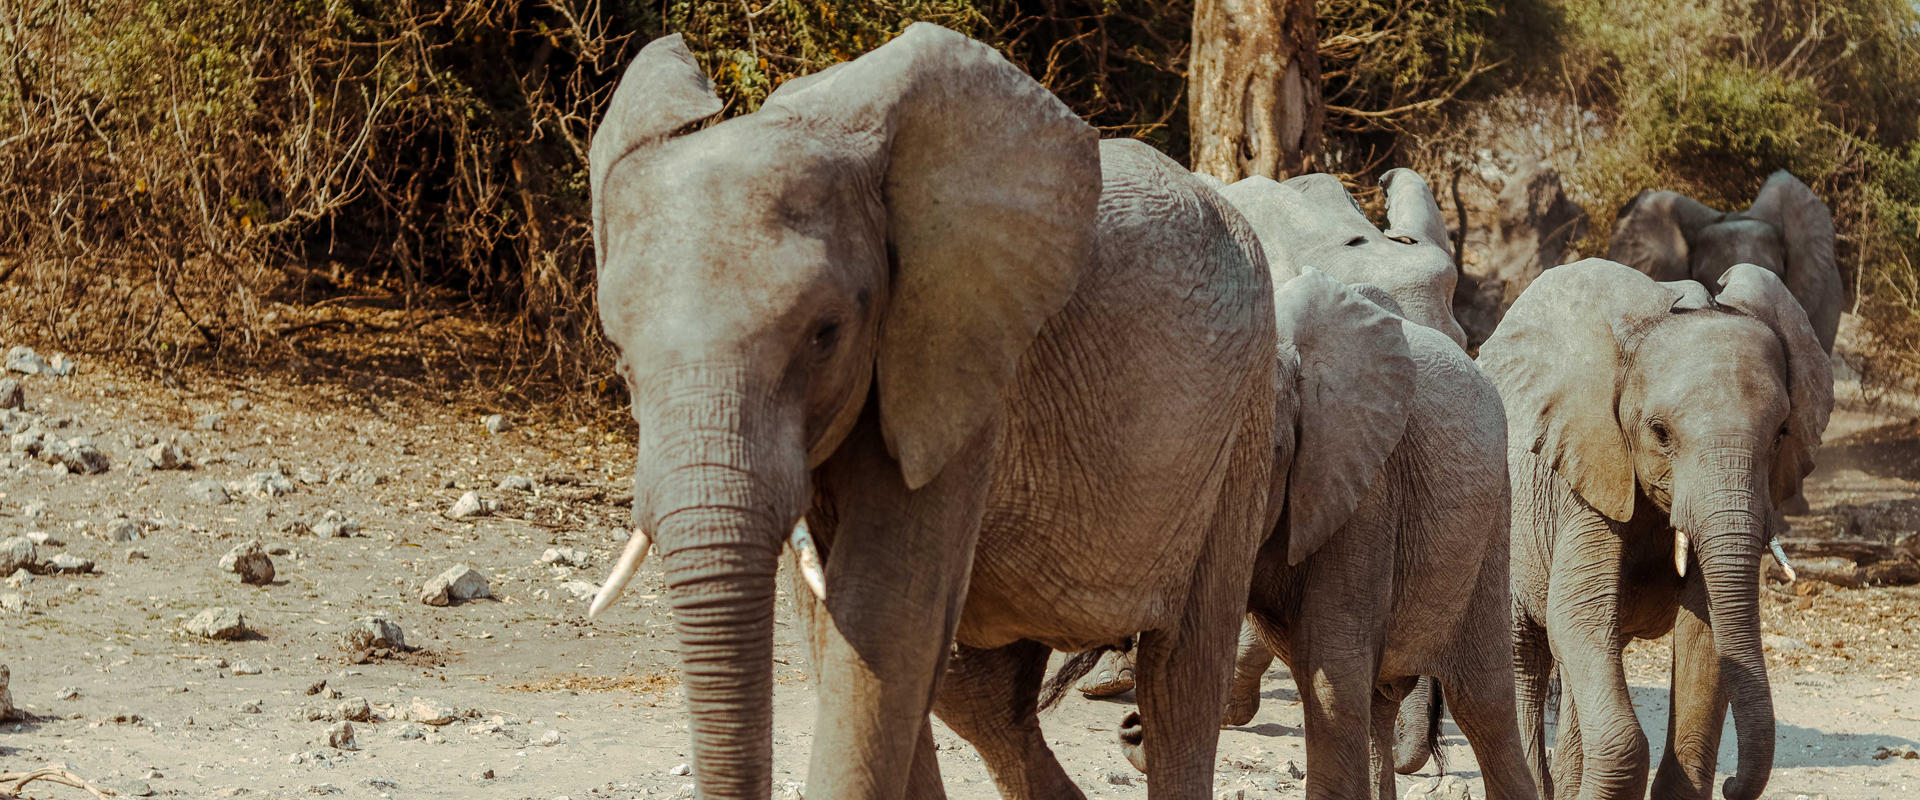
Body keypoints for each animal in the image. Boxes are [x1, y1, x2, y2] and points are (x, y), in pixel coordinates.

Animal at [583, 24, 1274, 798]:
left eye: (825, 335)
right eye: (619, 355)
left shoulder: (957, 364)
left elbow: (884, 624)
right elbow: (858, 640)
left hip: (1242, 430)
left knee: (1179, 680)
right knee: (981, 696)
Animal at [1474, 258, 1835, 794]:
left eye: (1780, 435)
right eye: (1660, 433)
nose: (1732, 786)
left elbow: (1703, 632)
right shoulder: (1587, 476)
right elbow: (1576, 615)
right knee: (1525, 655)